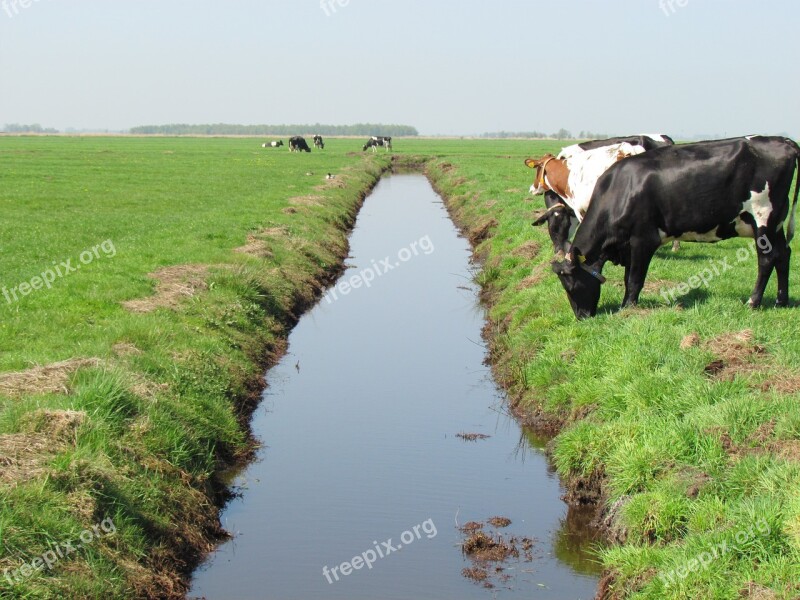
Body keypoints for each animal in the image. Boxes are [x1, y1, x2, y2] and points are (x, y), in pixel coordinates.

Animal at [552, 137, 800, 318]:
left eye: (571, 285)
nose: (581, 316)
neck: (621, 190)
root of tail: (783, 140)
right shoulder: (629, 245)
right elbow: (627, 277)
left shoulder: (643, 240)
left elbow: (634, 279)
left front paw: (627, 308)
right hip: (775, 225)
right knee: (783, 255)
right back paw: (781, 301)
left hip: (763, 219)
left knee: (767, 259)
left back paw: (753, 301)